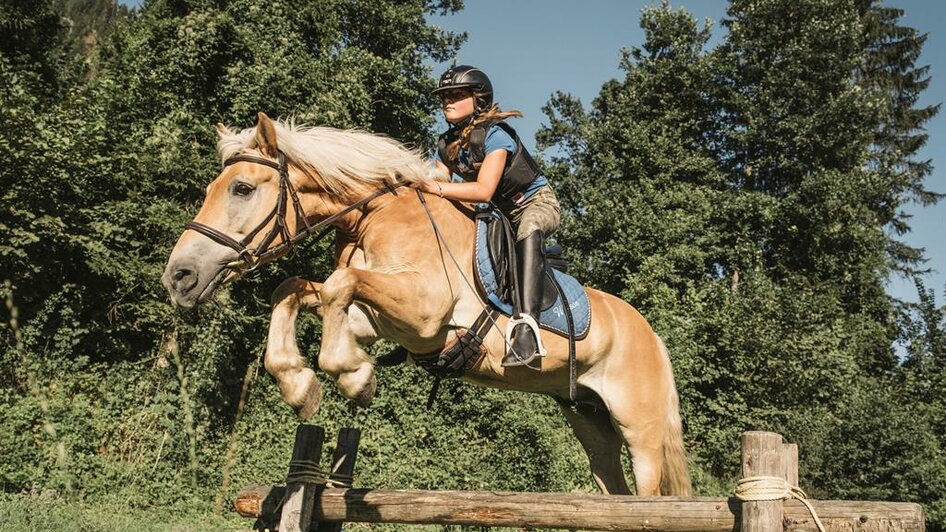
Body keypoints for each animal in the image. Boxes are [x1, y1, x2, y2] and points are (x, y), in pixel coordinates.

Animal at [162, 113, 688, 498]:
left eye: (242, 188)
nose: (178, 277)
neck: (371, 216)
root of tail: (653, 336)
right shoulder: (376, 317)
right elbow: (300, 289)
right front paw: (298, 382)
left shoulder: (425, 314)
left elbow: (340, 285)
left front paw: (353, 375)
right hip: (589, 419)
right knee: (612, 484)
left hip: (639, 430)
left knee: (648, 492)